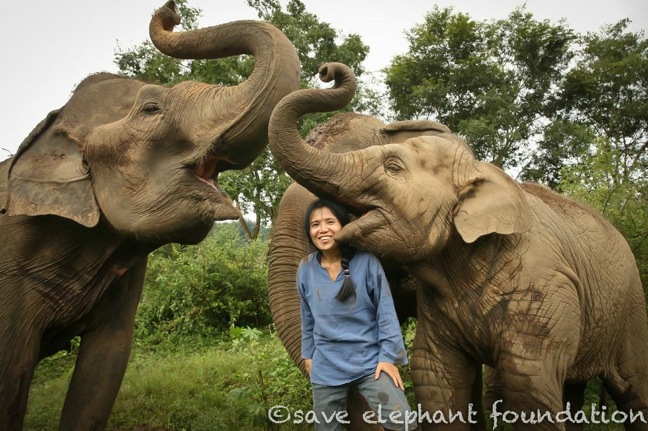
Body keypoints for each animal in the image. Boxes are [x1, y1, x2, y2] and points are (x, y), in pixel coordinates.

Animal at [264, 62, 648, 430]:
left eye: (391, 166)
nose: (327, 71)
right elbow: (436, 376)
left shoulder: (542, 292)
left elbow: (526, 384)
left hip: (630, 305)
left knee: (631, 388)